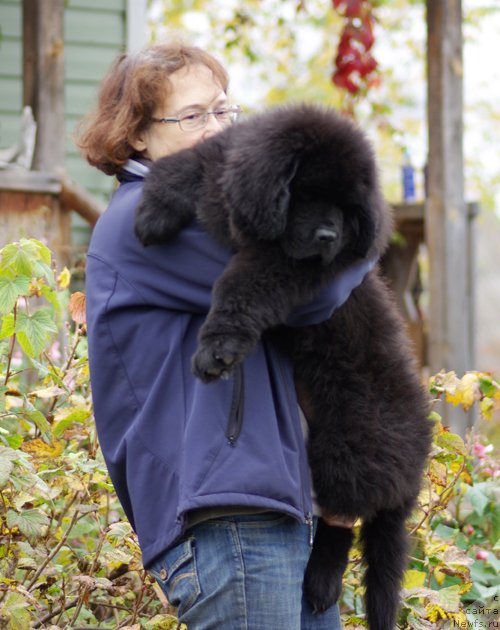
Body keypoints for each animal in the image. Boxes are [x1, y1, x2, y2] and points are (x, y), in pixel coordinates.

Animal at [135, 106, 432, 628]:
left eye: (347, 208)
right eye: (307, 194)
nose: (330, 236)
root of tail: (414, 466)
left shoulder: (292, 266)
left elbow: (241, 283)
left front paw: (216, 349)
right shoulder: (224, 165)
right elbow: (184, 164)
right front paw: (153, 213)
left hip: (346, 448)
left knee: (340, 523)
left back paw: (319, 583)